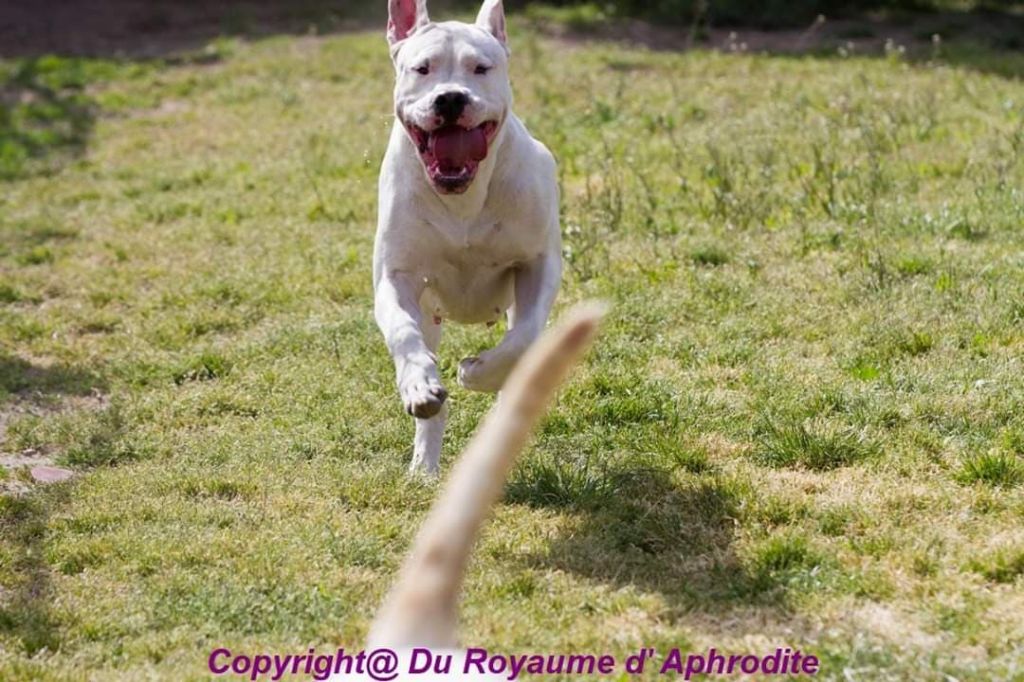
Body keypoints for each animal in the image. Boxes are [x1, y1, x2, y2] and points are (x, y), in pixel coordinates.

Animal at [374, 0, 562, 474]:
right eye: (422, 68)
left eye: (481, 68)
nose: (451, 97)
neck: (462, 197)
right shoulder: (395, 277)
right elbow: (403, 332)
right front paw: (420, 385)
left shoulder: (537, 264)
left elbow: (524, 337)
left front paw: (476, 372)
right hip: (430, 312)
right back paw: (424, 463)